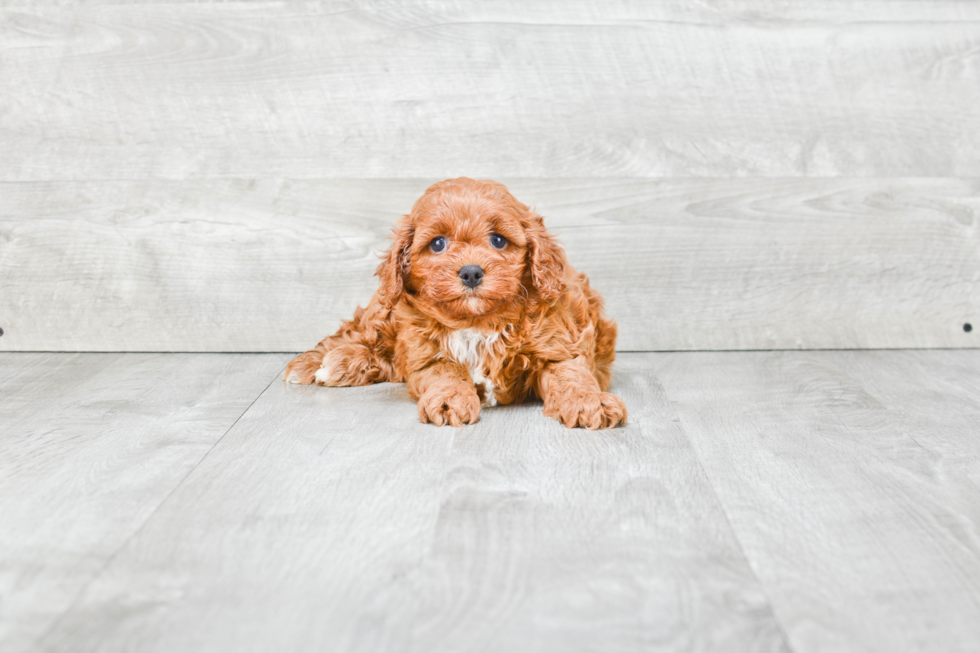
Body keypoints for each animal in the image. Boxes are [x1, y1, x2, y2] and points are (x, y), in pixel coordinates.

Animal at [286, 176, 628, 428]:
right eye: (438, 243)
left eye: (498, 240)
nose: (471, 272)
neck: (479, 320)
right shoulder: (427, 355)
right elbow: (447, 371)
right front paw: (450, 400)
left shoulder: (558, 348)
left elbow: (573, 377)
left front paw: (590, 402)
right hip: (385, 312)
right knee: (357, 335)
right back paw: (317, 364)